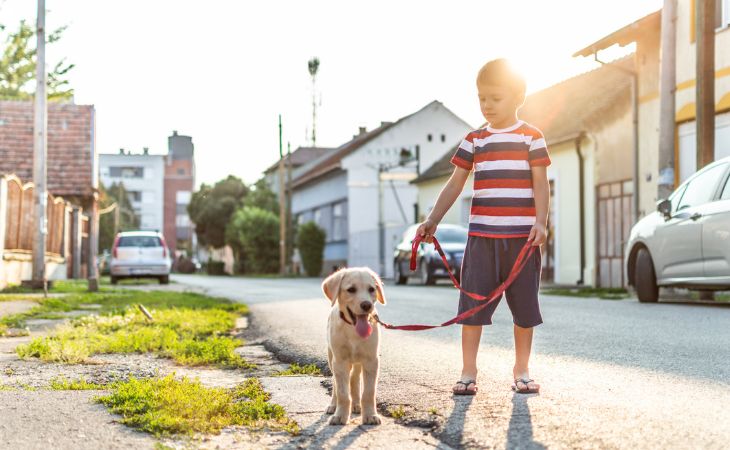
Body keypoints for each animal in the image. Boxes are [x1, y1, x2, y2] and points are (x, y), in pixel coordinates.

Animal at [320, 268, 384, 426]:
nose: (367, 305)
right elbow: (343, 393)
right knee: (335, 383)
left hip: (357, 363)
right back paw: (333, 405)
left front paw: (370, 415)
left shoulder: (371, 361)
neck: (353, 330)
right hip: (332, 359)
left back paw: (356, 404)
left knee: (354, 379)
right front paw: (340, 415)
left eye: (371, 289)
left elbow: (369, 392)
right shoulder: (340, 361)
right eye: (351, 290)